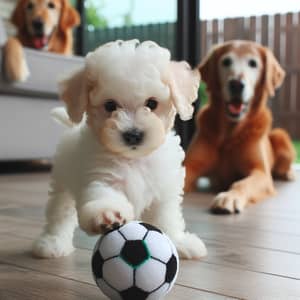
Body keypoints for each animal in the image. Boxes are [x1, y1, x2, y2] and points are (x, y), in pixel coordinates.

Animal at [32, 39, 206, 260]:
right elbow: (105, 197)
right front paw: (107, 214)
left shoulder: (163, 191)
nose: (133, 134)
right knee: (59, 213)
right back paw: (52, 243)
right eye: (110, 106)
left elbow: (166, 218)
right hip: (63, 182)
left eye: (152, 103)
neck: (134, 158)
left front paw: (179, 241)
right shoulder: (101, 177)